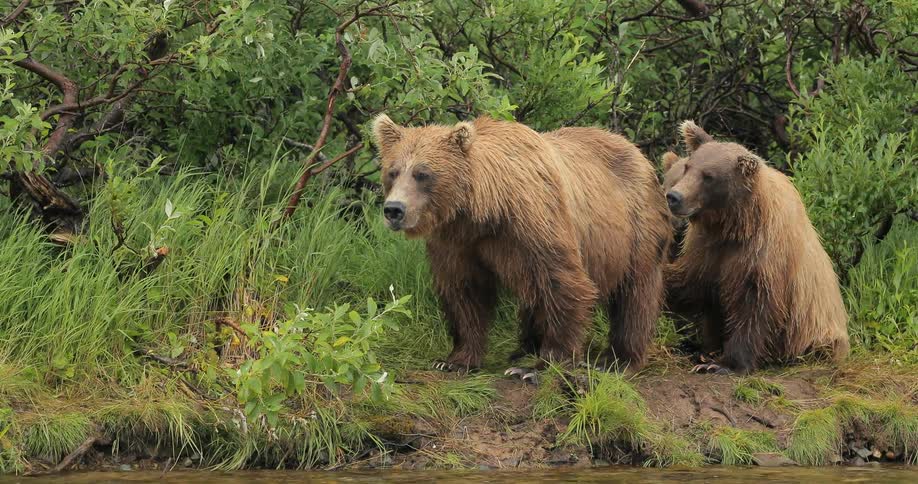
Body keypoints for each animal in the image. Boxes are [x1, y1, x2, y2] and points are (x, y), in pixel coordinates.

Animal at [372, 114, 672, 381]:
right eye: (392, 171)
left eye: (423, 173)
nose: (394, 209)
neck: (486, 211)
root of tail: (637, 151)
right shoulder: (457, 242)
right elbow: (463, 291)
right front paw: (455, 360)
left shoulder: (535, 222)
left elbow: (562, 283)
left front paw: (539, 367)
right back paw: (523, 348)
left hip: (636, 228)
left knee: (636, 293)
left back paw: (617, 360)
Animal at [664, 120, 850, 375]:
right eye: (688, 167)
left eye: (708, 176)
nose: (674, 197)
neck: (734, 224)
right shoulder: (707, 246)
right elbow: (692, 280)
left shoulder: (764, 253)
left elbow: (757, 305)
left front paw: (723, 365)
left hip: (819, 333)